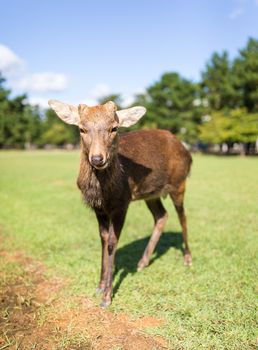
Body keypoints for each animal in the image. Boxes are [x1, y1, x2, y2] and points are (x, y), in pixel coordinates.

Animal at [49, 98, 194, 306]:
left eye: (114, 128)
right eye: (82, 129)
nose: (97, 158)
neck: (105, 193)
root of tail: (188, 153)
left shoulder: (122, 203)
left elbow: (112, 242)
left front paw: (107, 296)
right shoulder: (99, 208)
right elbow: (103, 239)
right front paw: (100, 286)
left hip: (179, 183)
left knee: (182, 217)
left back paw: (188, 259)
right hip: (151, 194)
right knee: (162, 215)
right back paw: (142, 262)